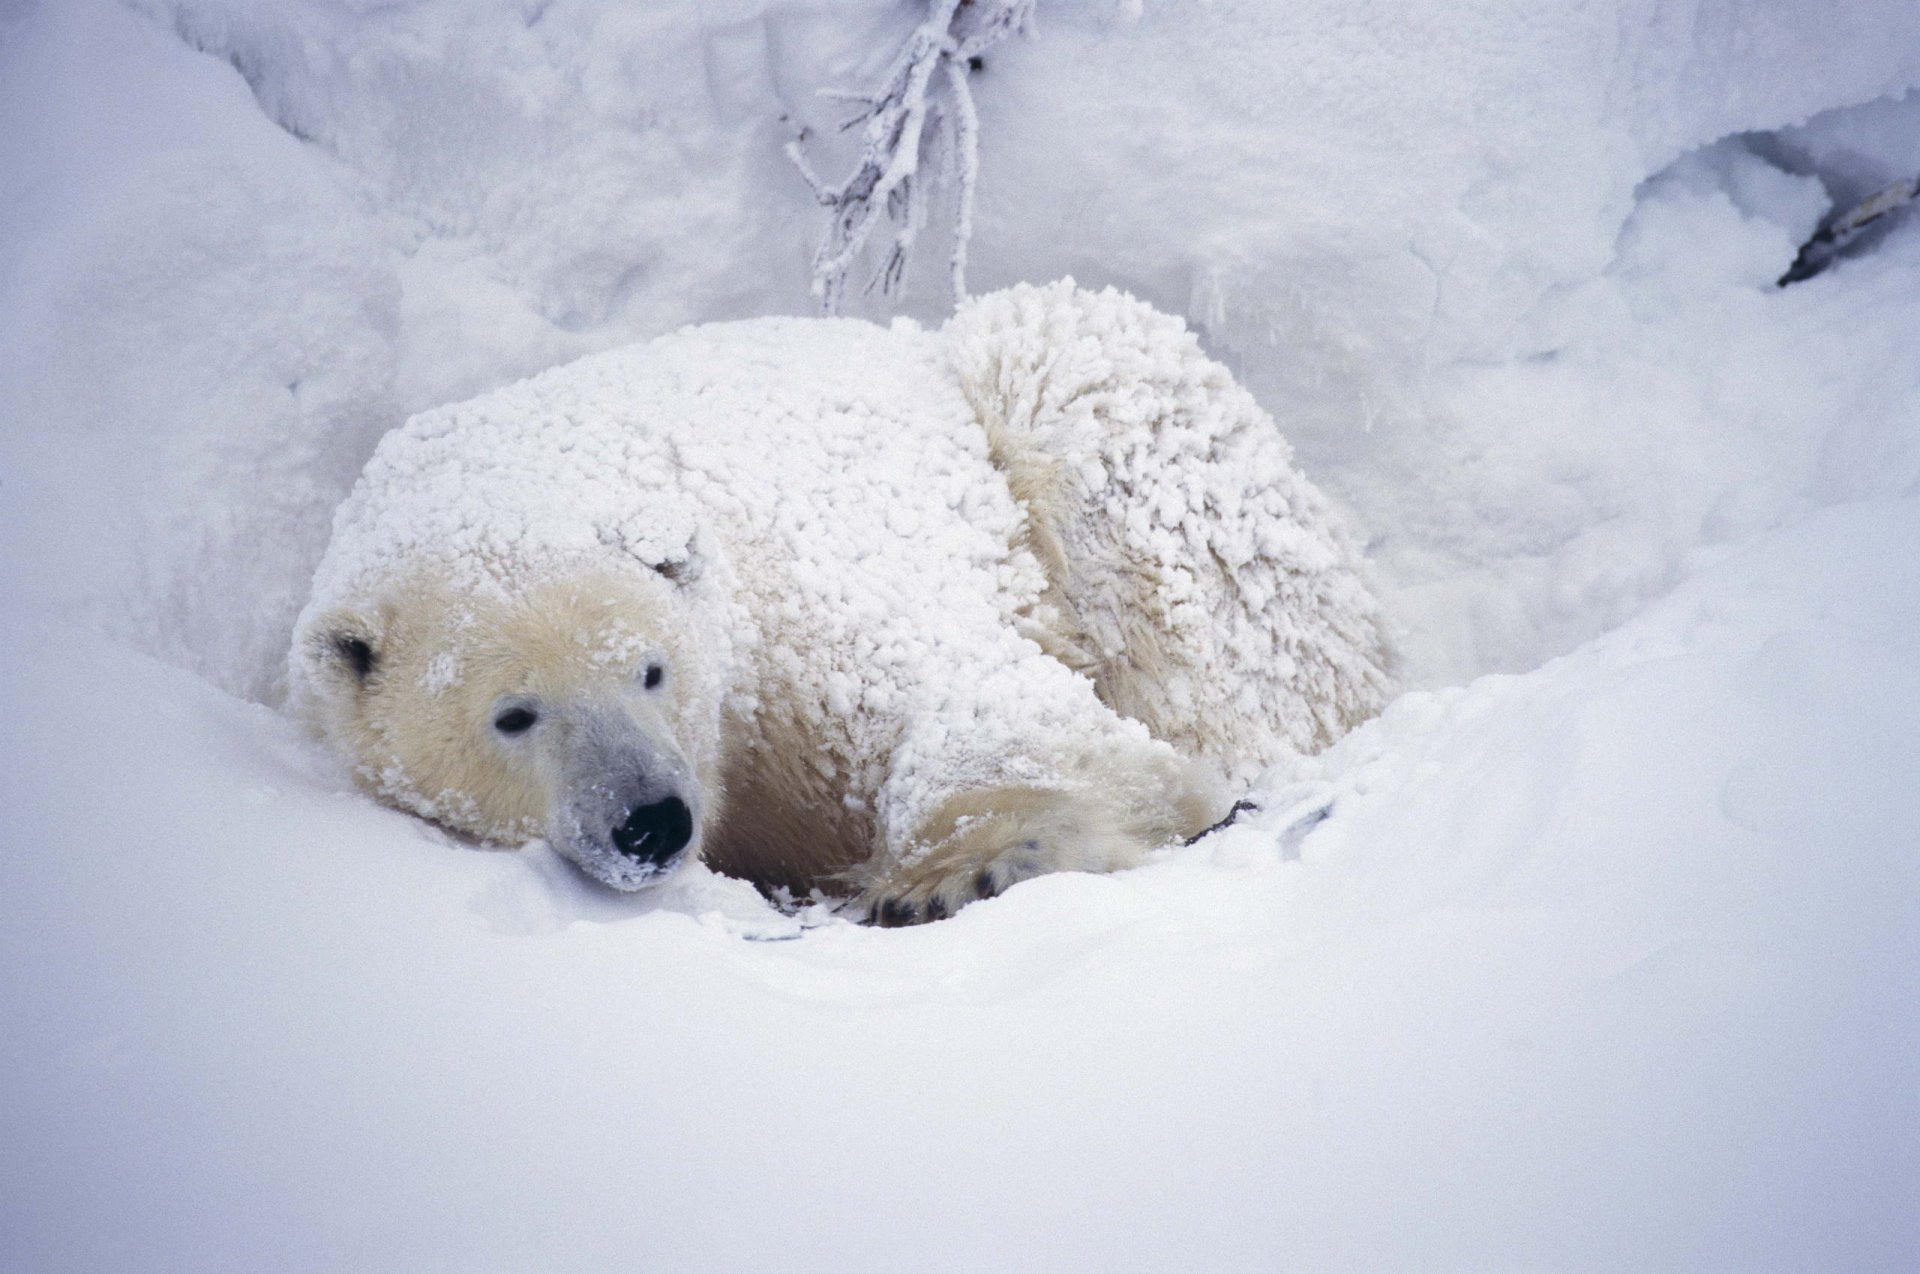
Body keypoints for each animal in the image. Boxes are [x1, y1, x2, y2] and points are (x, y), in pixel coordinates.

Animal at [290, 281, 1392, 923]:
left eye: (651, 669)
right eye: (514, 715)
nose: (653, 821)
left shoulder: (805, 606)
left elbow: (987, 701)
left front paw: (971, 867)